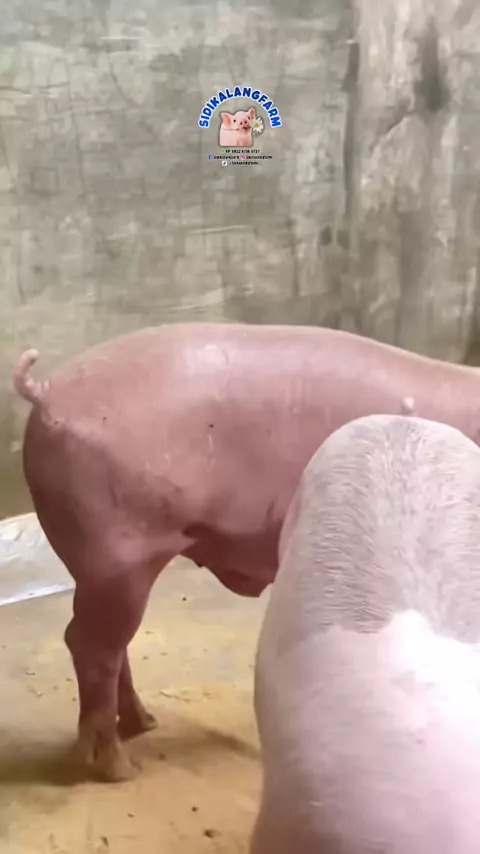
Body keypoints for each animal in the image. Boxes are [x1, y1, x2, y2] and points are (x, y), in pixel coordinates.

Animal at [11, 322, 480, 783]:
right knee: (91, 645)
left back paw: (144, 724)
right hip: (120, 555)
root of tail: (46, 390)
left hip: (101, 566)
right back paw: (118, 769)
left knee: (105, 643)